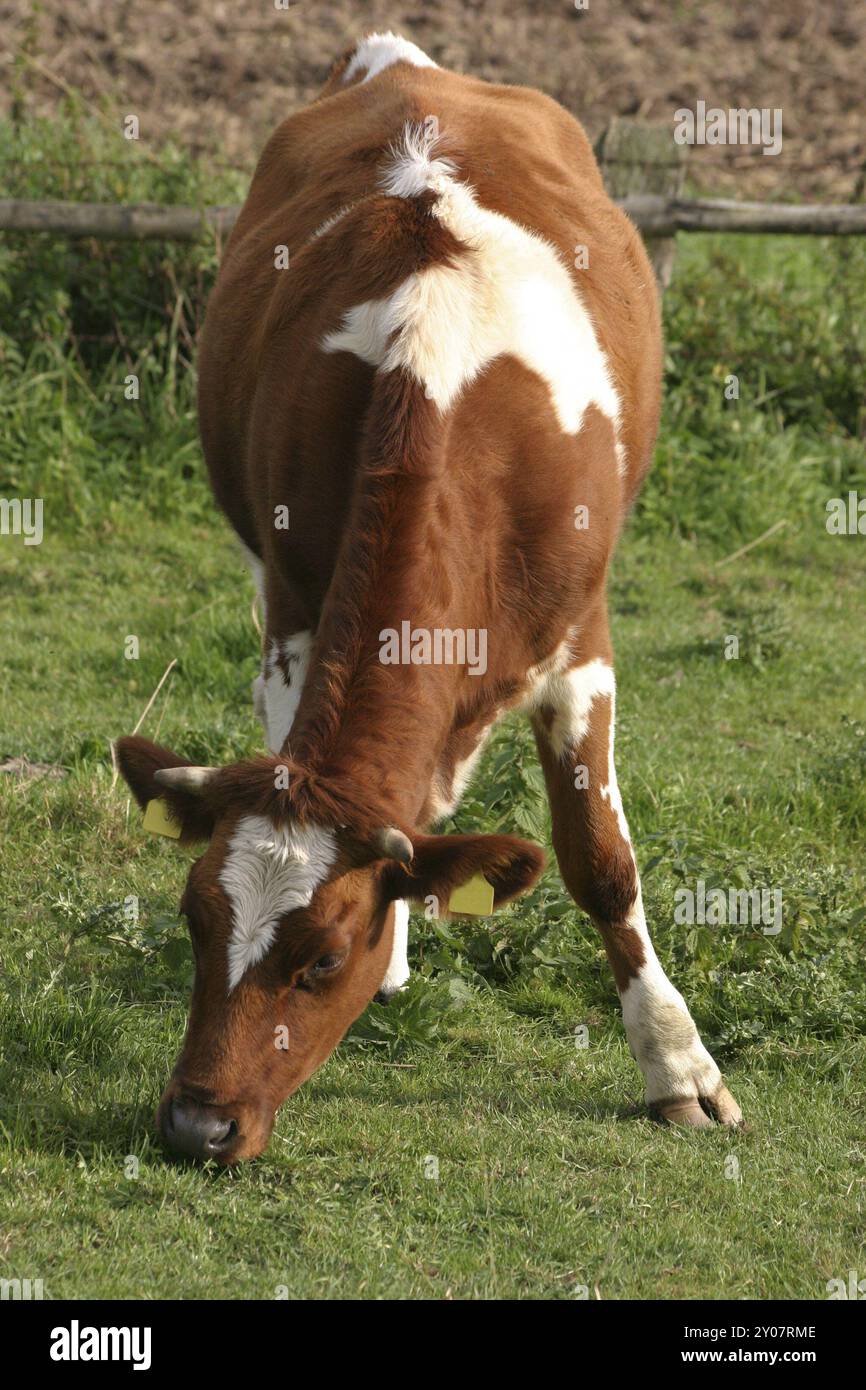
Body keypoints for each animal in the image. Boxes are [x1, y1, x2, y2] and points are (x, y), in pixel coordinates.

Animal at [113, 29, 739, 1162]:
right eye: (194, 921)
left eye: (319, 959)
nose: (193, 1124)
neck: (441, 387)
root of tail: (401, 59)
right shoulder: (293, 611)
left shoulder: (580, 642)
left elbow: (600, 863)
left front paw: (678, 1064)